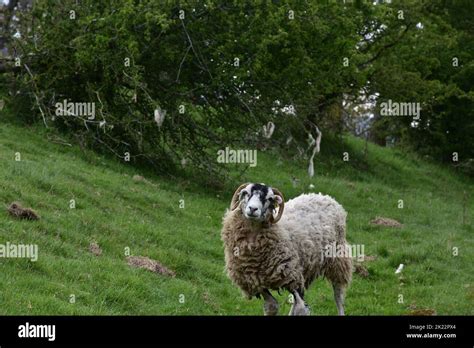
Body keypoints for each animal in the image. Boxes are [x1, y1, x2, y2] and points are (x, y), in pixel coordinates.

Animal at [222, 184, 352, 316]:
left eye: (270, 198)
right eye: (246, 193)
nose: (253, 209)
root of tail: (325, 197)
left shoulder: (292, 275)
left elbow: (301, 309)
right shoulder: (256, 280)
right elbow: (272, 306)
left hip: (337, 260)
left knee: (338, 295)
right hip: (305, 268)